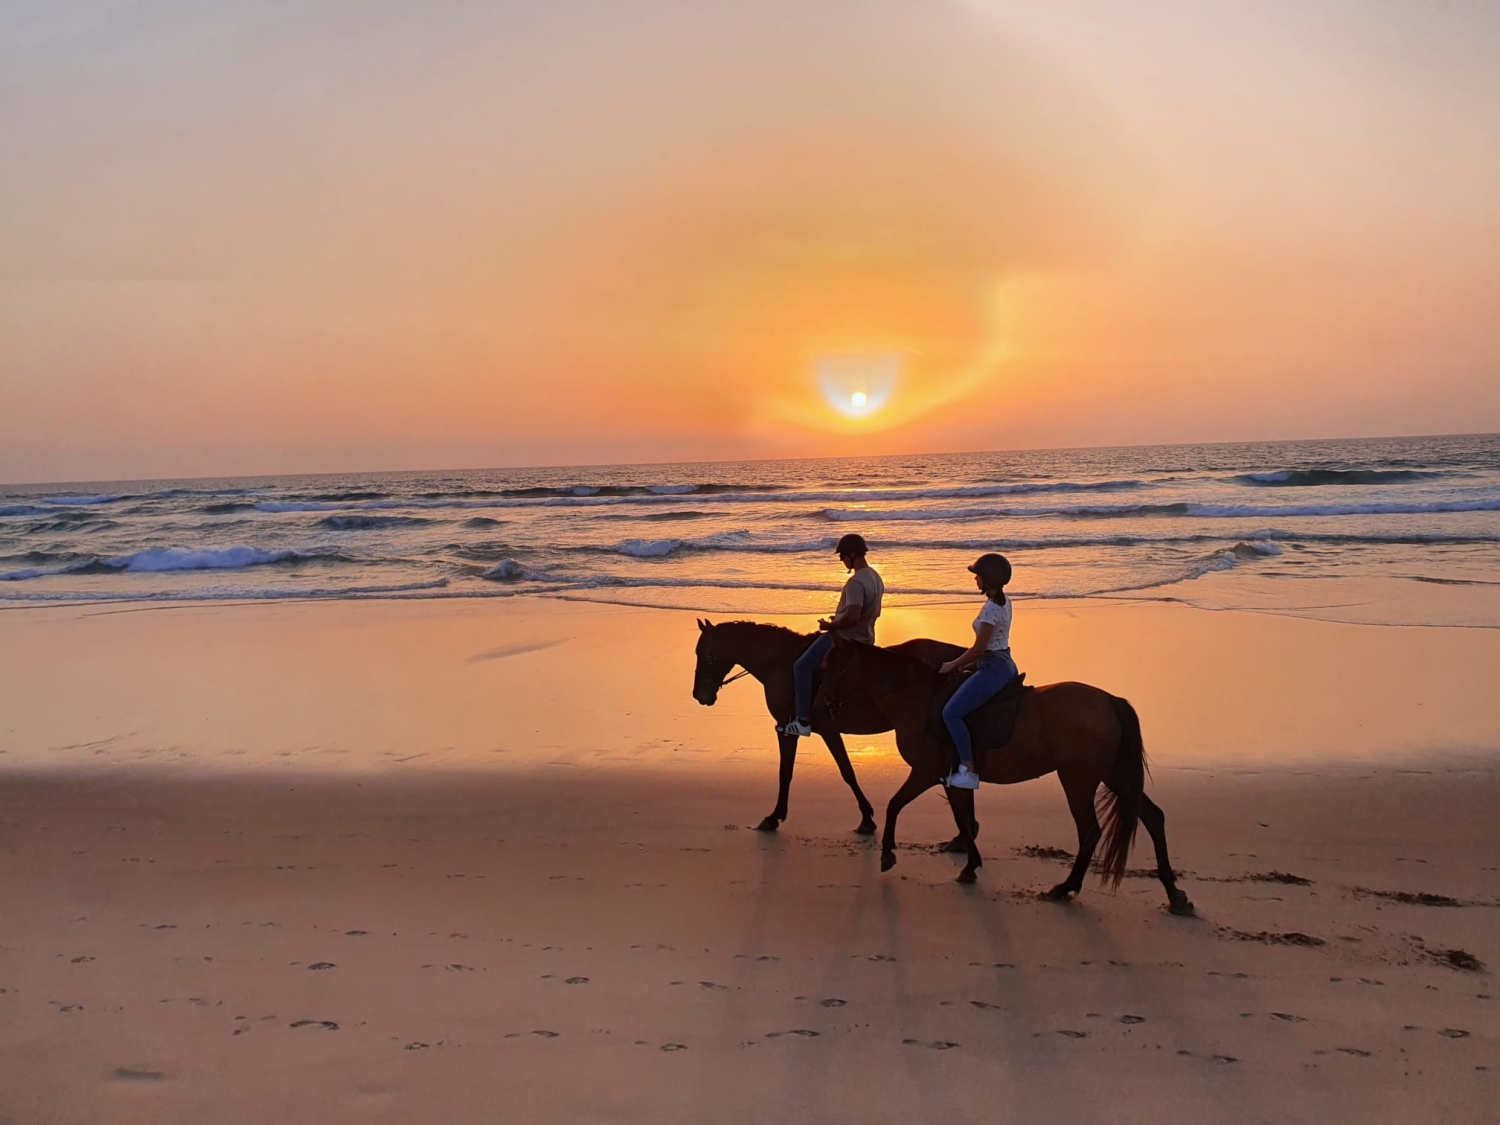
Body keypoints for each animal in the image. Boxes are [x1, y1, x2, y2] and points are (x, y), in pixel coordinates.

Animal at [692, 619, 963, 836]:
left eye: (706, 655)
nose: (699, 695)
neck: (781, 662)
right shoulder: (828, 731)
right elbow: (846, 771)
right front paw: (866, 818)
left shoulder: (789, 730)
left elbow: (789, 773)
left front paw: (773, 817)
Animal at [818, 637, 1193, 915]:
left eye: (830, 666)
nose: (824, 707)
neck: (920, 700)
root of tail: (1110, 701)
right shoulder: (950, 778)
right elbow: (963, 818)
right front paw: (970, 866)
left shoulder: (926, 772)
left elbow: (895, 805)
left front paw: (887, 854)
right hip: (1115, 776)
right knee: (1152, 817)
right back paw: (1174, 894)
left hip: (1078, 780)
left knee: (1090, 830)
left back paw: (1065, 887)